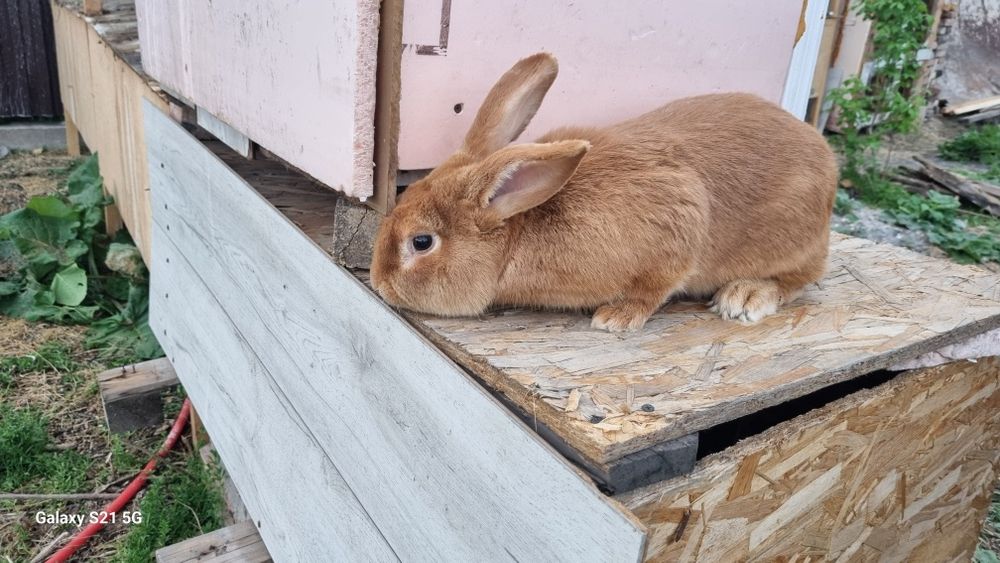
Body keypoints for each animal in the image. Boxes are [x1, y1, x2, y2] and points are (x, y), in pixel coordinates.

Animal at [370, 53, 838, 332]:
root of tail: (827, 158)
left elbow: (657, 285)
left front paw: (616, 318)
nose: (378, 284)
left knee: (803, 277)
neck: (518, 233)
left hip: (792, 241)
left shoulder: (677, 225)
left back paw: (745, 297)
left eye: (422, 242)